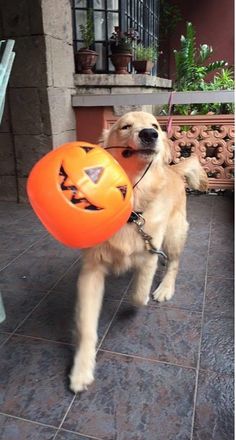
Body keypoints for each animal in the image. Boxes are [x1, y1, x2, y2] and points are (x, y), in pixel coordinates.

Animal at [69, 110, 207, 392]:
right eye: (125, 126)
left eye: (154, 125)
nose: (150, 134)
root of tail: (172, 169)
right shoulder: (91, 270)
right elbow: (87, 325)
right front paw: (81, 370)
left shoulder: (149, 252)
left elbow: (138, 294)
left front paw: (140, 292)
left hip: (174, 233)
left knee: (174, 263)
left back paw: (165, 287)